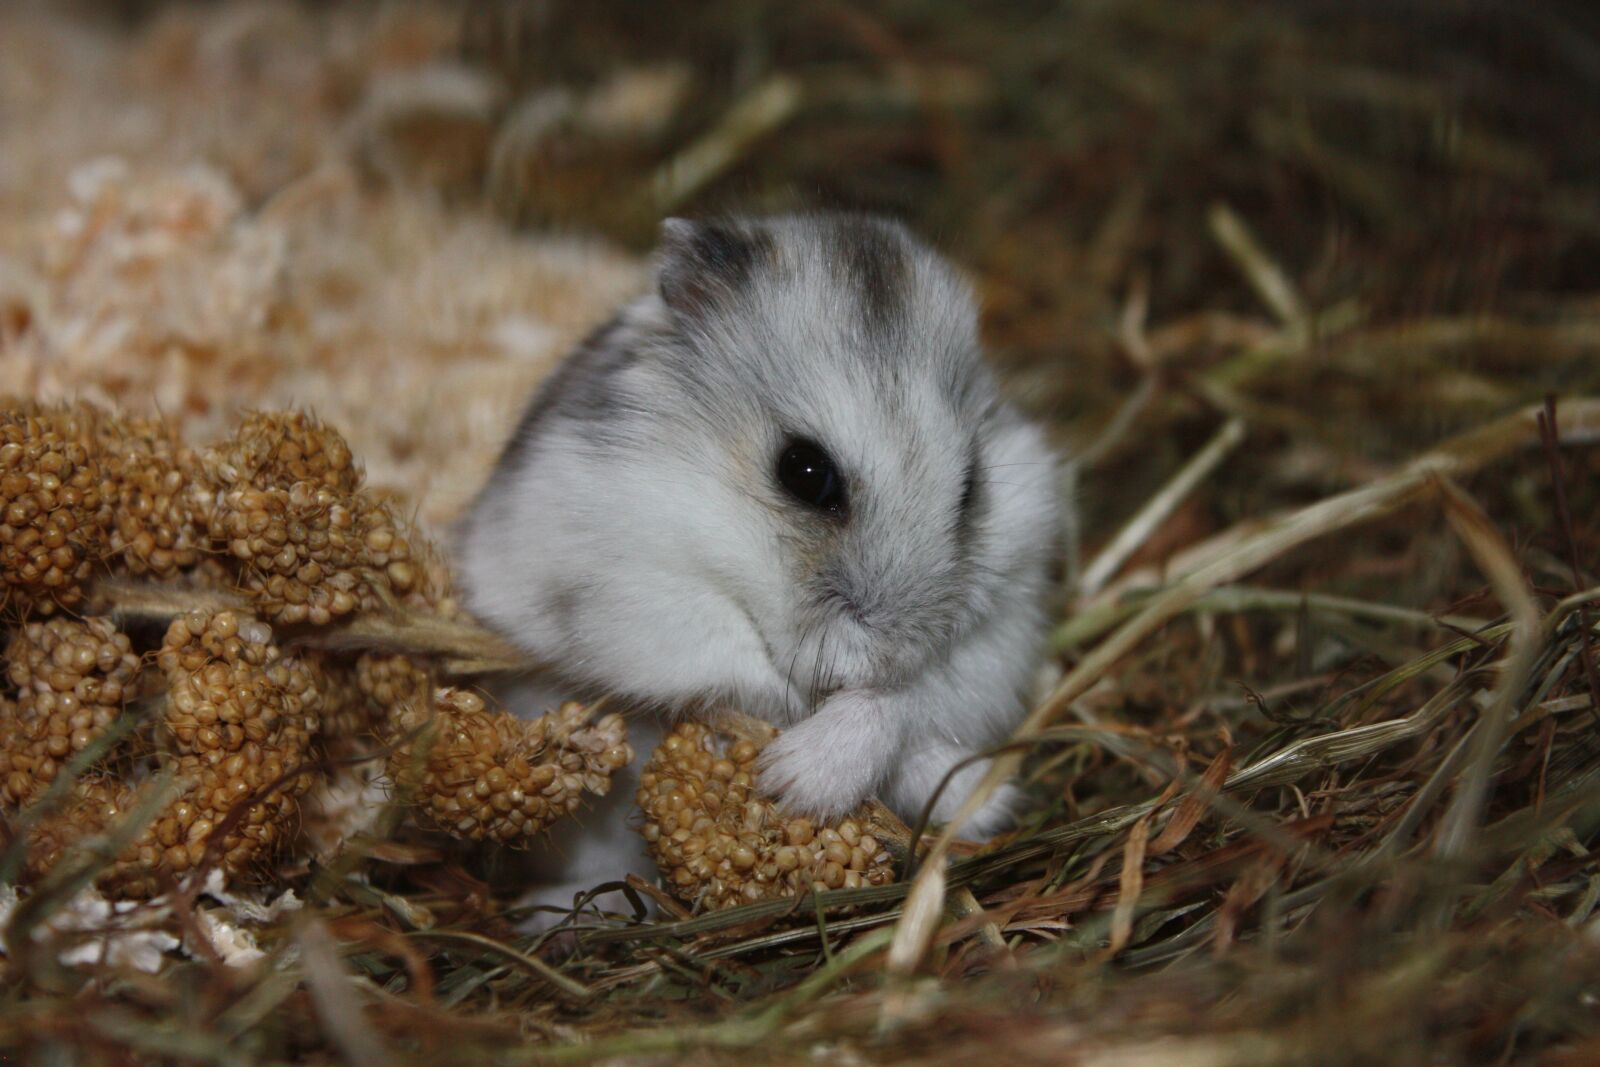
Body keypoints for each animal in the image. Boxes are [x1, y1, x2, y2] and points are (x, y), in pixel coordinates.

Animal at [458, 213, 1062, 866]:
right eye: (804, 471)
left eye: (972, 488)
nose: (884, 656)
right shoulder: (633, 599)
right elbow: (746, 677)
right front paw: (782, 777)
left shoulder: (1000, 632)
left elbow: (903, 702)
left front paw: (794, 781)